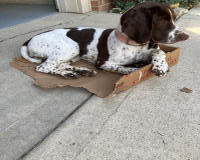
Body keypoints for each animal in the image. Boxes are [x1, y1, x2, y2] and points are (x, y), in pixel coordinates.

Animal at [20, 1, 189, 78]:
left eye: (173, 19)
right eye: (163, 22)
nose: (185, 36)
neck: (136, 46)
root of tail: (29, 40)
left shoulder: (152, 49)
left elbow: (159, 52)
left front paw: (161, 65)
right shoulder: (102, 62)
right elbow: (122, 68)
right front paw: (134, 68)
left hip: (72, 56)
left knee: (59, 64)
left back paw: (78, 70)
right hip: (71, 47)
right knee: (42, 67)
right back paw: (69, 73)